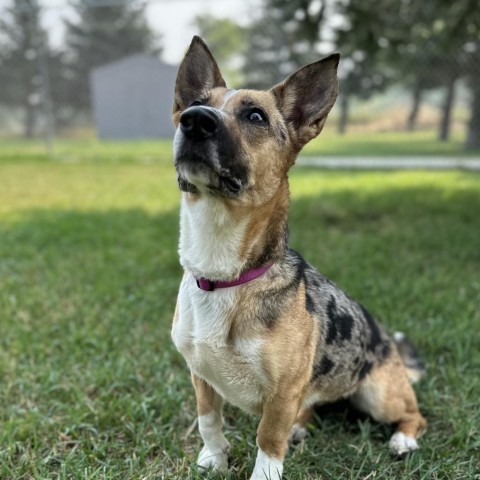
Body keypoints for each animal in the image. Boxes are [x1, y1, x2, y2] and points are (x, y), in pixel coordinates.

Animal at [171, 36, 426, 480]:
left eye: (255, 116)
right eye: (197, 103)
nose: (195, 120)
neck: (225, 274)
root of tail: (393, 355)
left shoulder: (283, 390)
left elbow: (268, 438)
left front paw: (264, 473)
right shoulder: (200, 375)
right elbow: (208, 421)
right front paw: (213, 460)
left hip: (380, 395)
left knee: (417, 416)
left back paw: (403, 439)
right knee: (309, 411)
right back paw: (301, 428)